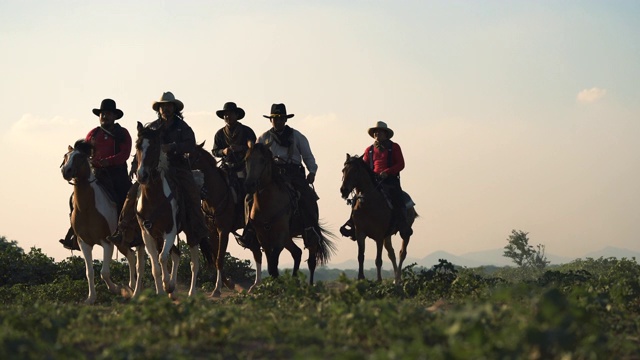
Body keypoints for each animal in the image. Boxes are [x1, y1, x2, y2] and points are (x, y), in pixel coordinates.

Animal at [60, 141, 145, 304]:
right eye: (66, 156)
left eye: (80, 157)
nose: (65, 171)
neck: (87, 208)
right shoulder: (84, 243)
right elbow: (90, 272)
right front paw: (91, 298)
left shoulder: (107, 242)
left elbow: (104, 272)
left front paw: (117, 289)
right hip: (121, 243)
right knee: (131, 257)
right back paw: (131, 286)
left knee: (138, 261)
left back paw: (135, 289)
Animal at [135, 121, 205, 298]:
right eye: (138, 145)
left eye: (154, 147)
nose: (142, 175)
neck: (154, 198)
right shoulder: (147, 234)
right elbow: (155, 265)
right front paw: (161, 291)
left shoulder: (170, 231)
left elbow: (162, 258)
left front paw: (168, 285)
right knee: (176, 255)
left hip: (191, 231)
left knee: (193, 263)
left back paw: (190, 292)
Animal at [244, 141, 338, 284]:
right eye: (246, 159)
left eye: (262, 160)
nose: (249, 184)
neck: (267, 205)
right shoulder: (263, 237)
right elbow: (271, 265)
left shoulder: (280, 235)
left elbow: (274, 264)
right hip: (288, 237)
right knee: (297, 253)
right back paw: (294, 280)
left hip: (306, 236)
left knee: (311, 261)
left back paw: (310, 285)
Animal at [338, 153, 418, 282]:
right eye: (343, 170)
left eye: (355, 170)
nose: (343, 190)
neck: (368, 204)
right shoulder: (360, 233)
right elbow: (360, 256)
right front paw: (361, 278)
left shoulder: (379, 235)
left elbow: (378, 260)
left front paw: (379, 280)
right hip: (388, 235)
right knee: (391, 253)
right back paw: (395, 279)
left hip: (404, 232)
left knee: (402, 253)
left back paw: (398, 279)